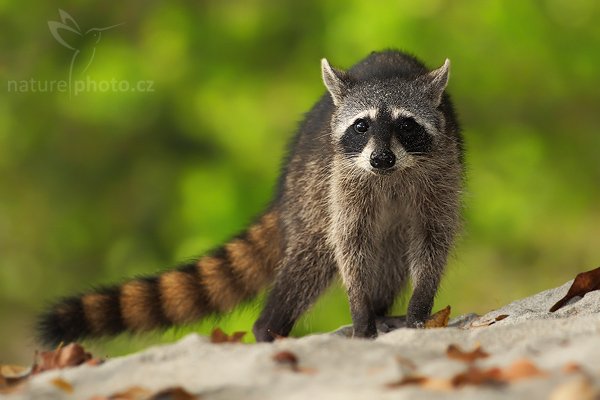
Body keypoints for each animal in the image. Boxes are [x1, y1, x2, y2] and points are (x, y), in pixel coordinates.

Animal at [37, 49, 464, 344]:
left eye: (405, 125)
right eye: (362, 126)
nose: (380, 158)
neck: (391, 174)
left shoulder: (443, 171)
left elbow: (432, 239)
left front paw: (419, 306)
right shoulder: (345, 182)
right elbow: (349, 244)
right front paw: (360, 311)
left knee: (387, 254)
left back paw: (381, 312)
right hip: (313, 189)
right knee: (313, 256)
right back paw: (272, 326)